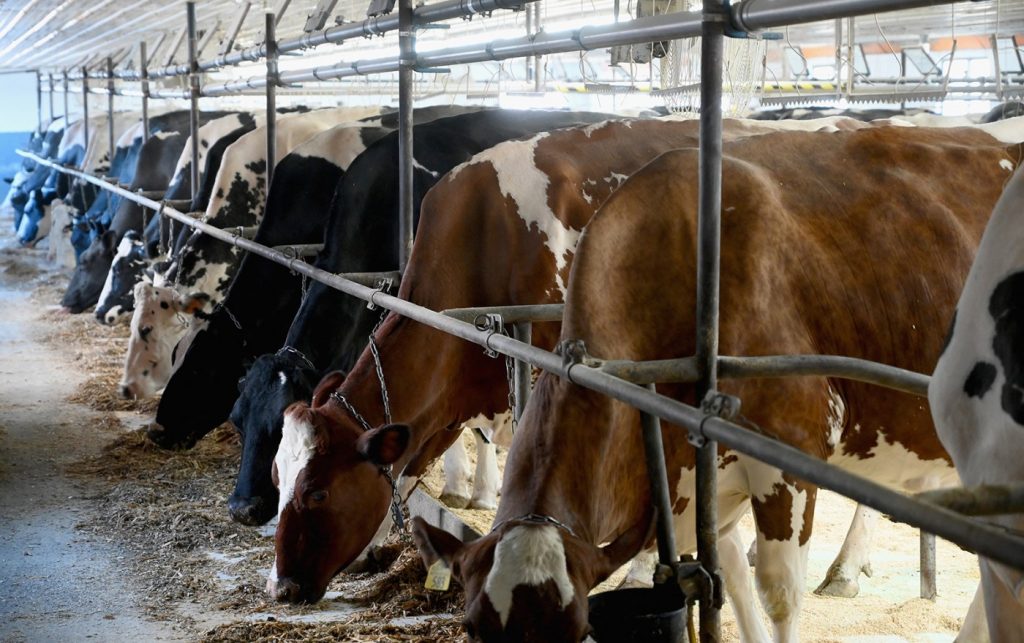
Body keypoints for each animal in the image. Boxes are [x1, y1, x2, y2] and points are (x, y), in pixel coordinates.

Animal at [411, 126, 1019, 643]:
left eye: (580, 630)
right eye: (472, 628)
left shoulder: (789, 458)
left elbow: (778, 597)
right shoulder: (700, 484)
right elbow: (726, 581)